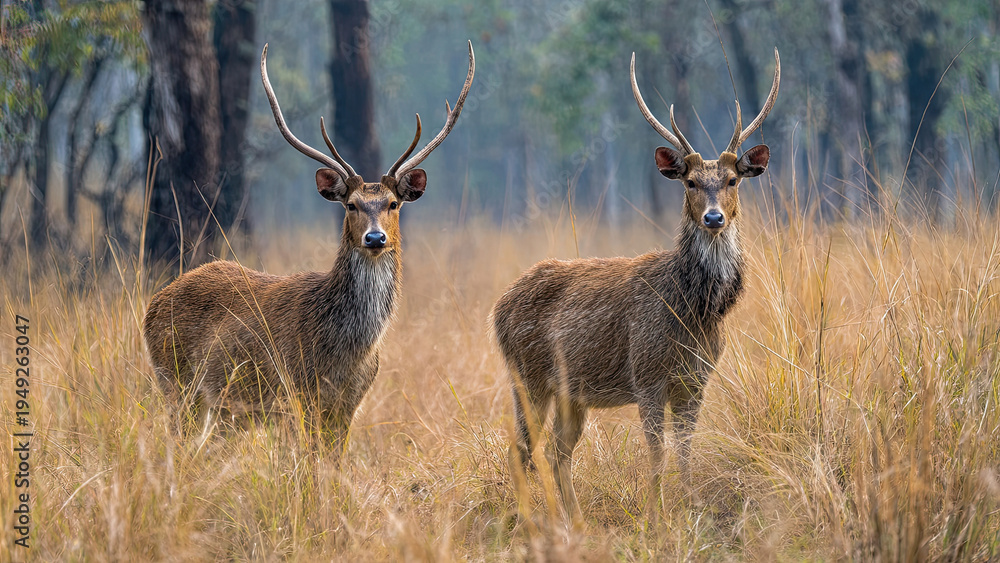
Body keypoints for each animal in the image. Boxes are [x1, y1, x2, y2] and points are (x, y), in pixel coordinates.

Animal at [142, 42, 475, 452]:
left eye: (393, 204)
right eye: (351, 205)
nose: (375, 238)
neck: (344, 352)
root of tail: (154, 303)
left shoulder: (348, 402)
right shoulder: (292, 393)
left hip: (217, 405)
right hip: (176, 382)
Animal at [490, 49, 779, 522]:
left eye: (733, 180)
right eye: (690, 182)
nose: (713, 217)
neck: (695, 311)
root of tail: (497, 308)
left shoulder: (696, 380)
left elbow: (685, 452)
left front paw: (692, 508)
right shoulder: (646, 374)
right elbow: (657, 454)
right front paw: (655, 516)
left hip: (571, 393)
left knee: (556, 451)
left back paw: (576, 521)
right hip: (527, 375)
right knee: (522, 450)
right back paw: (533, 520)